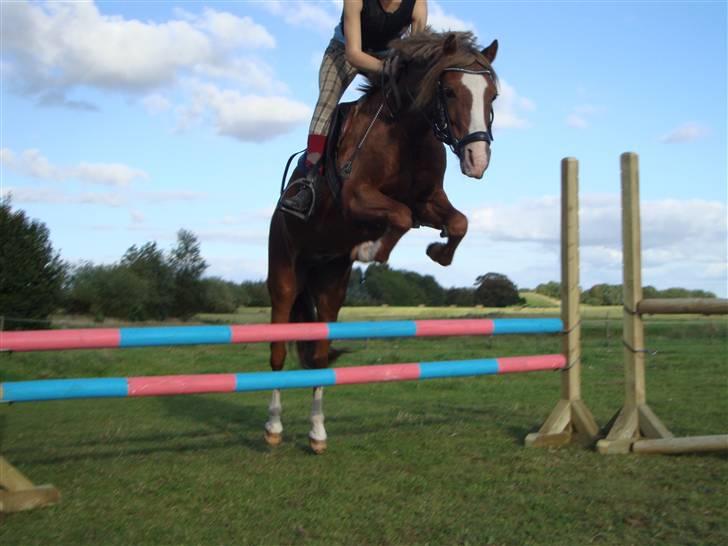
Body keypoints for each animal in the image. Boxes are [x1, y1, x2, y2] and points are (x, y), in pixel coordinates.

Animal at [266, 31, 499, 453]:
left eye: (493, 95)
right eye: (450, 91)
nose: (477, 159)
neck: (409, 132)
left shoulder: (429, 202)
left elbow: (457, 222)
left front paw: (439, 253)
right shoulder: (356, 198)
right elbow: (400, 216)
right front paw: (370, 249)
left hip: (330, 284)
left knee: (320, 358)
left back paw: (317, 433)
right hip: (285, 274)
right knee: (277, 353)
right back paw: (273, 427)